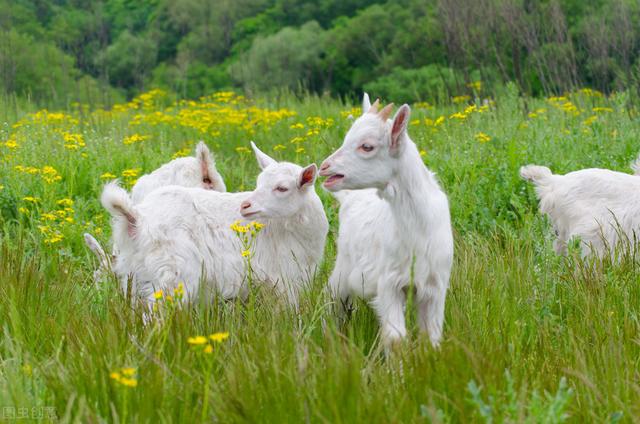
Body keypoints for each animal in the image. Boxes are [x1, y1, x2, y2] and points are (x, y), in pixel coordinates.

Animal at [320, 93, 456, 348]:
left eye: (367, 146)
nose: (325, 168)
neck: (417, 228)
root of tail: (349, 198)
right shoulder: (388, 281)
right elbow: (396, 337)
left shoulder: (435, 285)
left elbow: (431, 335)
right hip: (344, 265)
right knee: (332, 298)